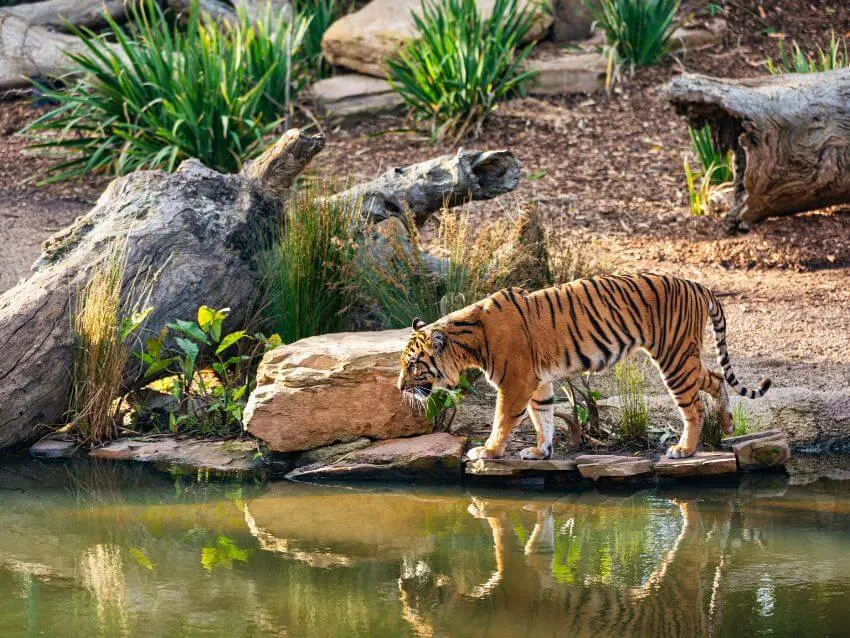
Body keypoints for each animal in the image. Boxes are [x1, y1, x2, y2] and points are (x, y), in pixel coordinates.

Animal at [398, 272, 768, 462]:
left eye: (414, 365)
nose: (400, 387)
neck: (469, 340)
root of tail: (696, 284)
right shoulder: (538, 382)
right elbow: (543, 417)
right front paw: (540, 450)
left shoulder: (515, 383)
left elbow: (502, 421)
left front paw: (487, 451)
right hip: (684, 356)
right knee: (717, 378)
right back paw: (727, 423)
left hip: (674, 357)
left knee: (693, 407)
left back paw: (685, 448)